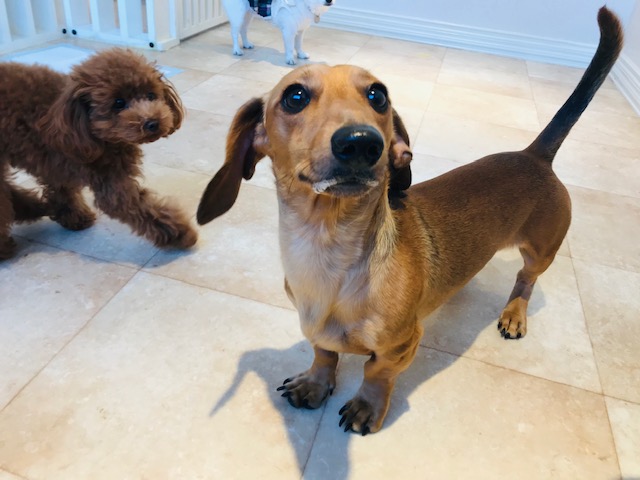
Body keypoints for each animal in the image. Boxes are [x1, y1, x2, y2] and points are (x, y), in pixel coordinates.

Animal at [0, 48, 198, 260]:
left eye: (151, 95)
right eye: (118, 103)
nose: (153, 123)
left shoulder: (55, 167)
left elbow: (63, 191)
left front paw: (74, 217)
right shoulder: (108, 181)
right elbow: (140, 207)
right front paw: (180, 234)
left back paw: (34, 209)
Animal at [196, 7, 623, 434]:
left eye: (378, 95)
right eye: (294, 96)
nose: (362, 142)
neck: (327, 252)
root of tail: (534, 155)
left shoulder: (401, 346)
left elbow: (376, 375)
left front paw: (366, 407)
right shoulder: (314, 330)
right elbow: (324, 355)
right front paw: (315, 383)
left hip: (541, 251)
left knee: (525, 279)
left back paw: (514, 314)